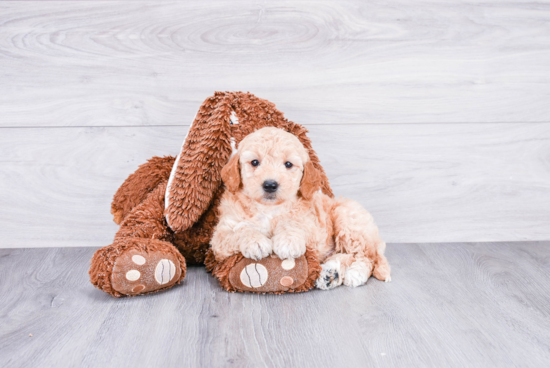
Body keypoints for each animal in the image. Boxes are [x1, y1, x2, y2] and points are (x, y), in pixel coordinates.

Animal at [211, 128, 392, 288]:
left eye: (288, 164)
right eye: (254, 162)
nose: (270, 185)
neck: (269, 209)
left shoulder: (313, 228)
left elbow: (292, 222)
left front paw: (287, 241)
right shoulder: (219, 237)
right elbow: (240, 230)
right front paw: (256, 241)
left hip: (347, 218)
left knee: (367, 257)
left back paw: (355, 274)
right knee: (346, 256)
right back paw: (330, 274)